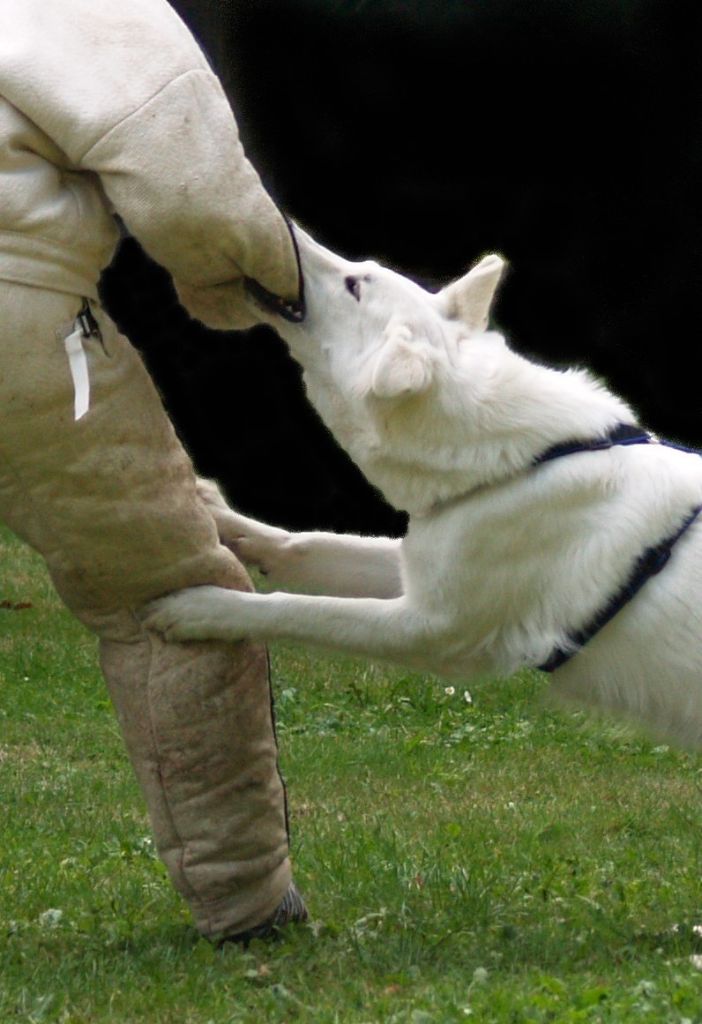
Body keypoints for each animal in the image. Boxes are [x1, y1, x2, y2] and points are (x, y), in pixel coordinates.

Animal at [143, 228, 702, 745]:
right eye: (360, 271)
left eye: (355, 285)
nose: (284, 228)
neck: (520, 464)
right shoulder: (423, 565)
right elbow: (306, 543)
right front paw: (219, 516)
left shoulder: (430, 630)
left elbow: (300, 608)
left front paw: (203, 608)